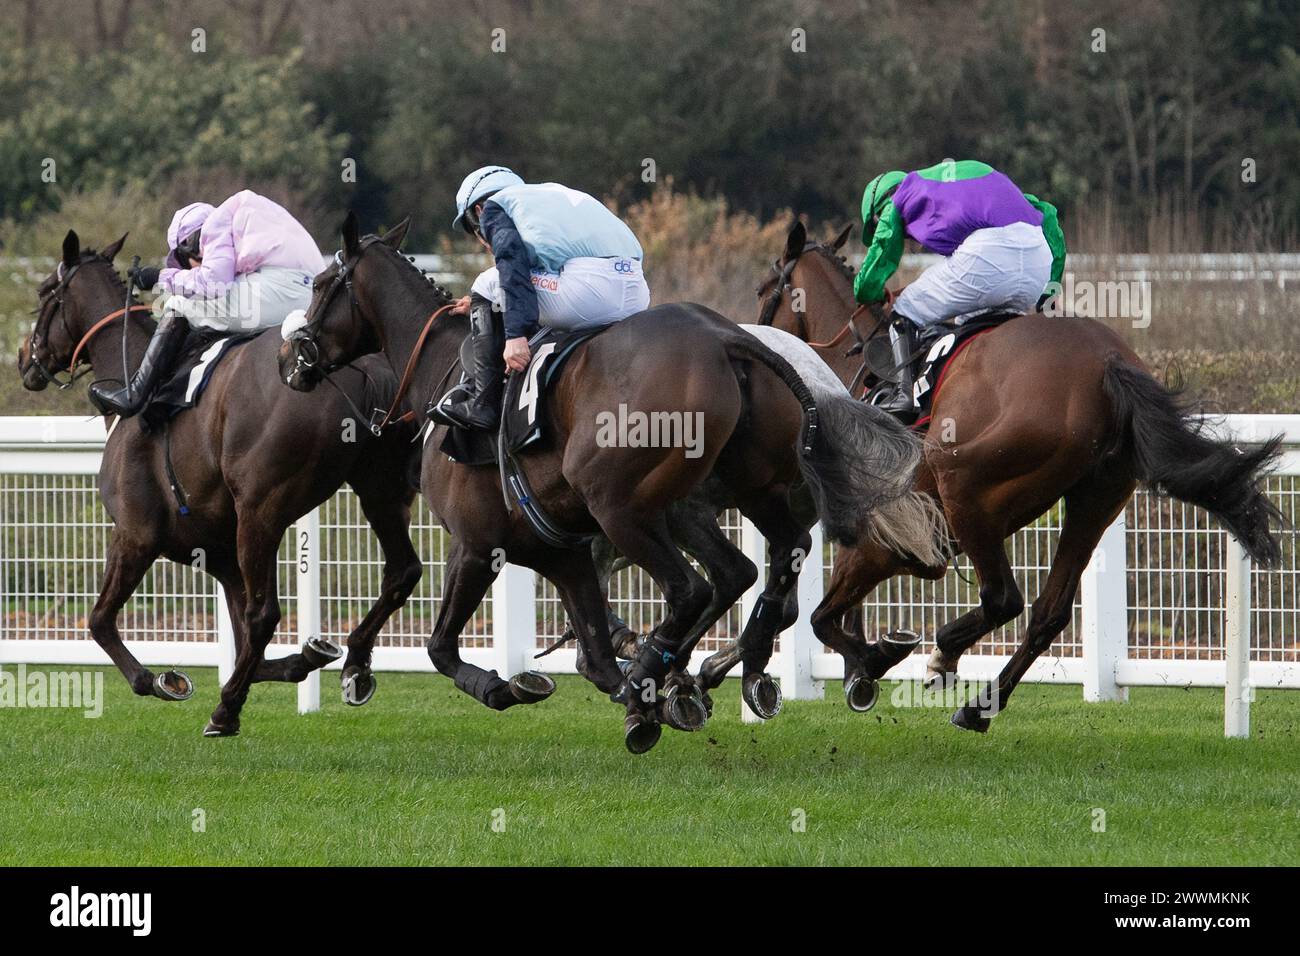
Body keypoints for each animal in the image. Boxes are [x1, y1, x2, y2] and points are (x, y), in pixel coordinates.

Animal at [17, 230, 423, 733]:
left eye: (44, 294)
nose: (23, 358)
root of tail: (361, 366)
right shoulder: (220, 556)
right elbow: (253, 647)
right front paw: (307, 656)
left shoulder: (135, 534)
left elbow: (100, 621)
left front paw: (163, 680)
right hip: (379, 491)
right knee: (401, 571)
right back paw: (354, 665)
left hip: (260, 511)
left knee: (265, 614)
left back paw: (225, 711)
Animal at [279, 213, 941, 749]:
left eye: (318, 284)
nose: (291, 361)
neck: (445, 371)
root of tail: (729, 340)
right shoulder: (564, 555)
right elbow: (594, 658)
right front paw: (652, 686)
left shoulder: (476, 545)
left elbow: (441, 648)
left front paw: (508, 686)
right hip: (743, 493)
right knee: (770, 564)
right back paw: (737, 668)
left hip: (624, 505)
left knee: (695, 587)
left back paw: (679, 674)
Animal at [748, 222, 1284, 733]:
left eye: (762, 290)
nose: (755, 341)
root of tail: (1108, 364)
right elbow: (828, 613)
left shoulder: (885, 540)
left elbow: (822, 618)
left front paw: (870, 664)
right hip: (1096, 498)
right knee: (1048, 612)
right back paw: (978, 708)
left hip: (964, 483)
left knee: (1003, 598)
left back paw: (945, 655)